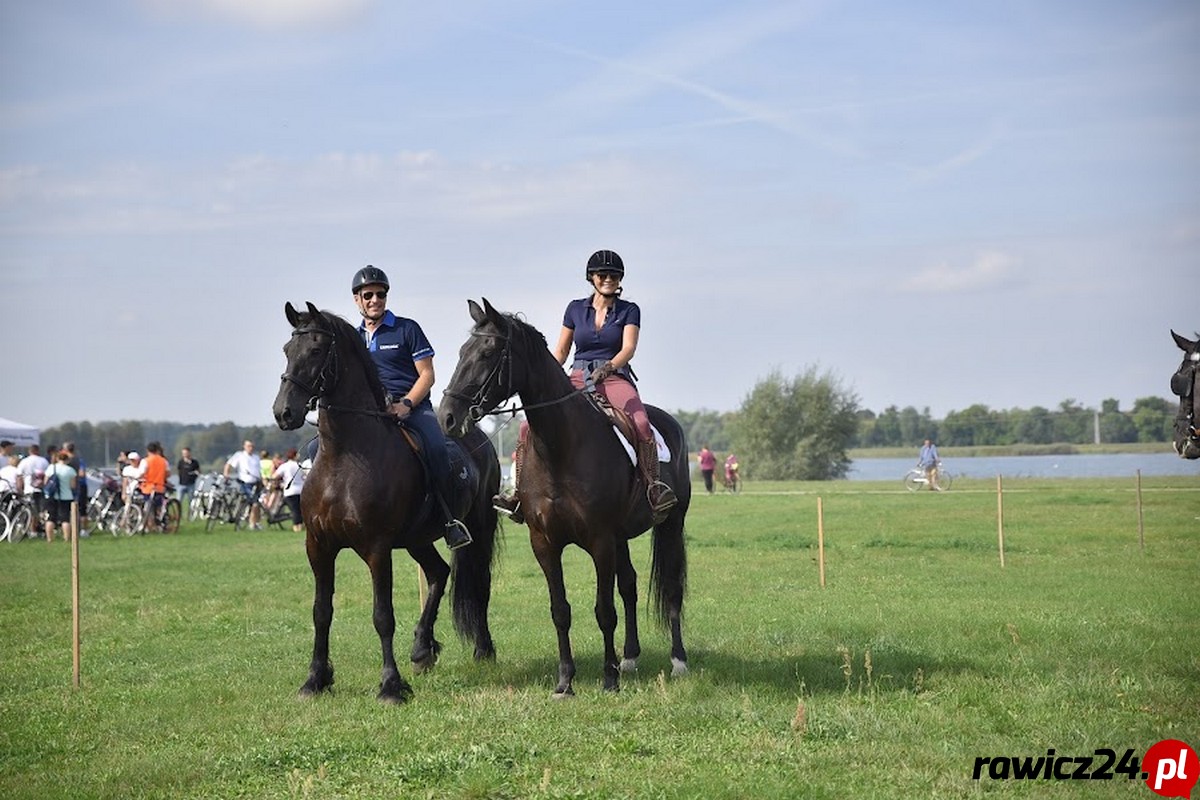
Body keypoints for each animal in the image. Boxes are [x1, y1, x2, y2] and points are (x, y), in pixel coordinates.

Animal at [273, 299, 501, 700]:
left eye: (315, 350)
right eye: (287, 349)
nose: (284, 412)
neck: (345, 456)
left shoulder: (377, 548)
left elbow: (383, 615)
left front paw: (391, 686)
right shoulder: (318, 546)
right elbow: (321, 612)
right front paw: (315, 679)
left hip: (478, 526)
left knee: (478, 583)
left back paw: (482, 650)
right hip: (416, 539)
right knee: (438, 573)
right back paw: (423, 648)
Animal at [441, 297, 691, 695]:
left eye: (488, 352)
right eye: (463, 351)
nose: (448, 416)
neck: (562, 447)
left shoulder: (600, 541)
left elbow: (604, 611)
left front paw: (608, 679)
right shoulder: (544, 542)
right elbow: (561, 611)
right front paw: (565, 681)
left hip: (670, 523)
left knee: (670, 588)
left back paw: (678, 660)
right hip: (621, 537)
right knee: (630, 586)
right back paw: (630, 657)